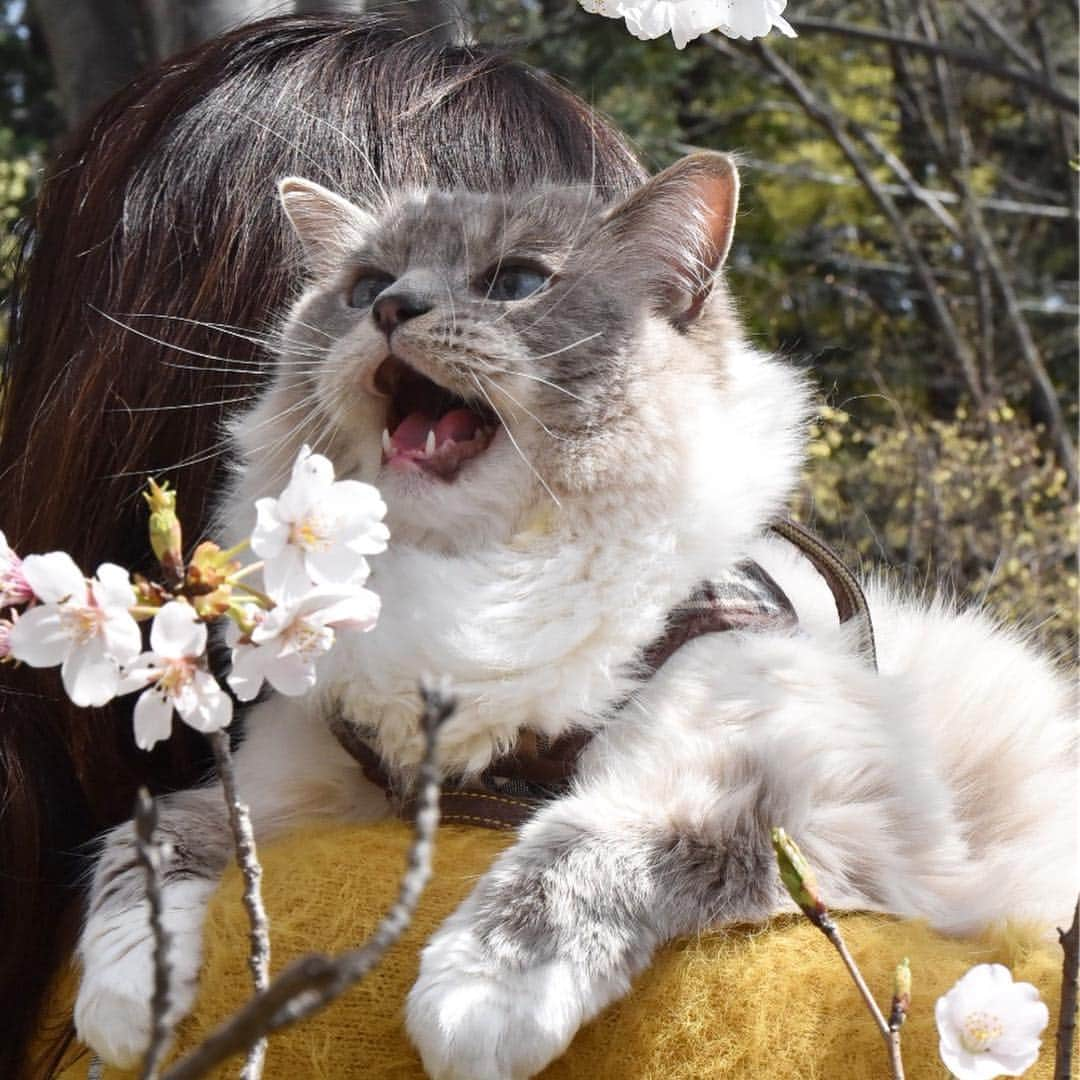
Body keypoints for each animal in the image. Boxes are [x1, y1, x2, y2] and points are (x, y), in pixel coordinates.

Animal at [71, 154, 1075, 1080]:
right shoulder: (299, 789)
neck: (473, 579)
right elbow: (153, 841)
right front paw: (126, 1003)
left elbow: (588, 840)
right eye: (362, 288)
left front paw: (478, 1001)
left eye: (516, 283)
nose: (391, 310)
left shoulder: (822, 803)